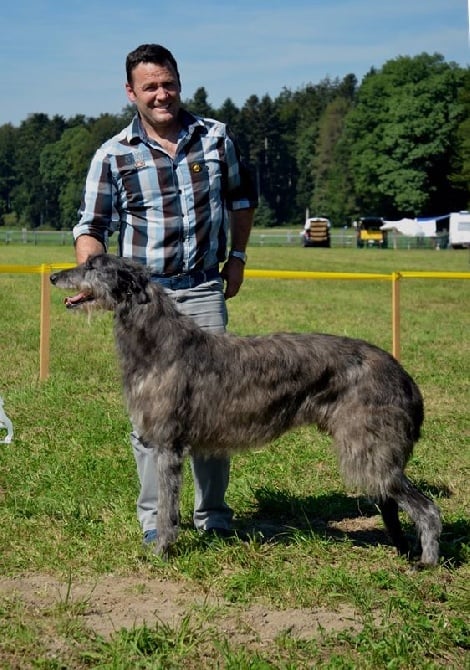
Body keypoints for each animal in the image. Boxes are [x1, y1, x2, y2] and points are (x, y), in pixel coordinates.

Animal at [49, 252, 442, 568]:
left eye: (92, 266)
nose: (53, 277)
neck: (159, 342)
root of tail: (404, 376)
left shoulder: (168, 447)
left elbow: (167, 509)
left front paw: (162, 551)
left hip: (368, 448)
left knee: (427, 508)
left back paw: (428, 561)